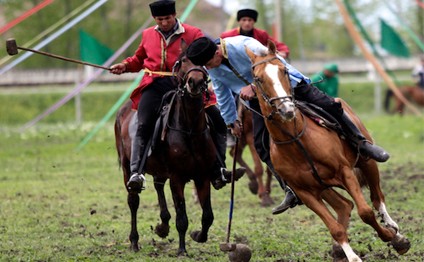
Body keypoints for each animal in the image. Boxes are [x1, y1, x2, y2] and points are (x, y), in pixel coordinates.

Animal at [114, 48, 215, 255]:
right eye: (183, 61)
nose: (195, 82)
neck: (189, 130)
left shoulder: (203, 177)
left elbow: (208, 216)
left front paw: (198, 236)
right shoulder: (177, 179)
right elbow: (182, 218)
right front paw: (182, 250)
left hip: (159, 169)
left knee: (158, 187)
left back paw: (163, 226)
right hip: (128, 168)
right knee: (133, 201)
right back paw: (134, 241)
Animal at [245, 42, 410, 260]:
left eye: (284, 70)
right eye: (258, 78)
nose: (287, 109)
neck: (297, 142)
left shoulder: (345, 172)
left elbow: (365, 212)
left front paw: (392, 237)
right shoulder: (305, 193)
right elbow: (335, 228)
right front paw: (352, 256)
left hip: (367, 163)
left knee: (377, 198)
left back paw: (394, 231)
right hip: (323, 186)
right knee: (345, 205)